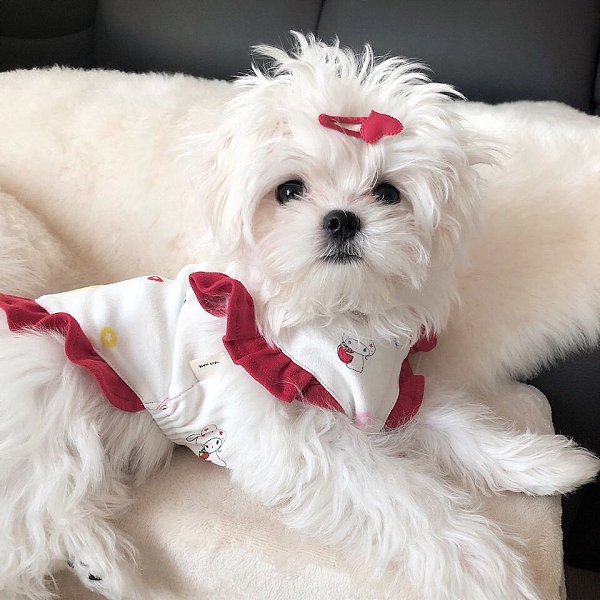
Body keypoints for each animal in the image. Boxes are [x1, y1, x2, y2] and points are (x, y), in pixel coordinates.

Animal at [0, 33, 598, 600]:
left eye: (388, 192)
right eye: (289, 189)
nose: (342, 219)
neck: (334, 318)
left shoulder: (388, 392)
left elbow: (456, 423)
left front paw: (547, 464)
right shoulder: (303, 436)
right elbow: (406, 497)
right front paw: (485, 565)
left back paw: (108, 568)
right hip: (53, 399)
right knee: (29, 522)